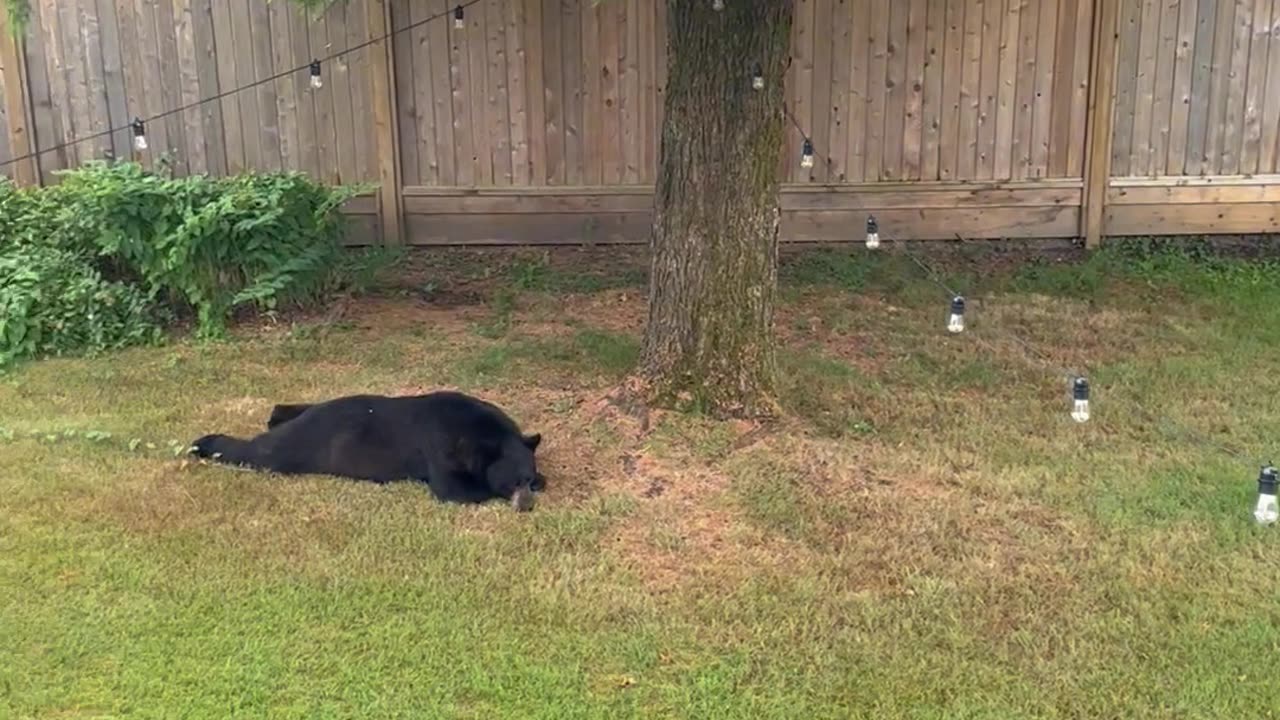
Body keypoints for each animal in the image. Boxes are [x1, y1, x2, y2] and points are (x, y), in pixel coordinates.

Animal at [190, 386, 545, 509]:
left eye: (526, 478)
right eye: (513, 482)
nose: (526, 505)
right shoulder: (441, 448)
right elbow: (455, 489)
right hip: (295, 445)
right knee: (257, 452)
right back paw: (204, 442)